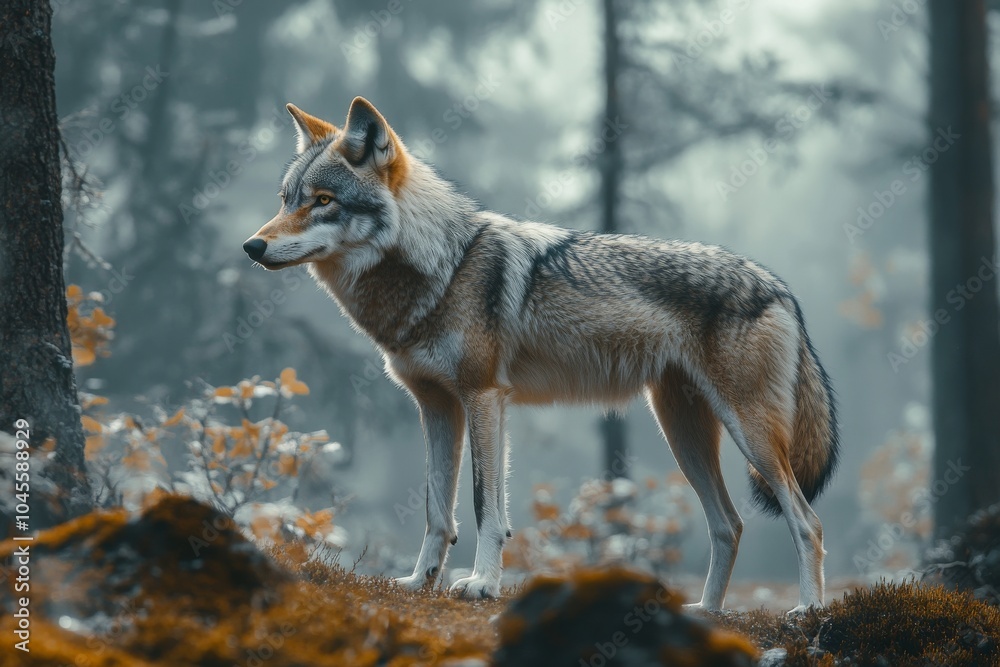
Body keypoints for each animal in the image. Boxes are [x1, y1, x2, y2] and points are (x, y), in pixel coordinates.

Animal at [243, 97, 839, 613]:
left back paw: (808, 611)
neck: (442, 268)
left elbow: (484, 506)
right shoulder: (436, 406)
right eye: (286, 199)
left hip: (746, 433)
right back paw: (706, 612)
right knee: (729, 525)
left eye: (323, 200)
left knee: (806, 521)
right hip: (683, 433)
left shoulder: (483, 397)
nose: (252, 246)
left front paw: (481, 584)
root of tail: (780, 287)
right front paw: (418, 582)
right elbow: (438, 511)